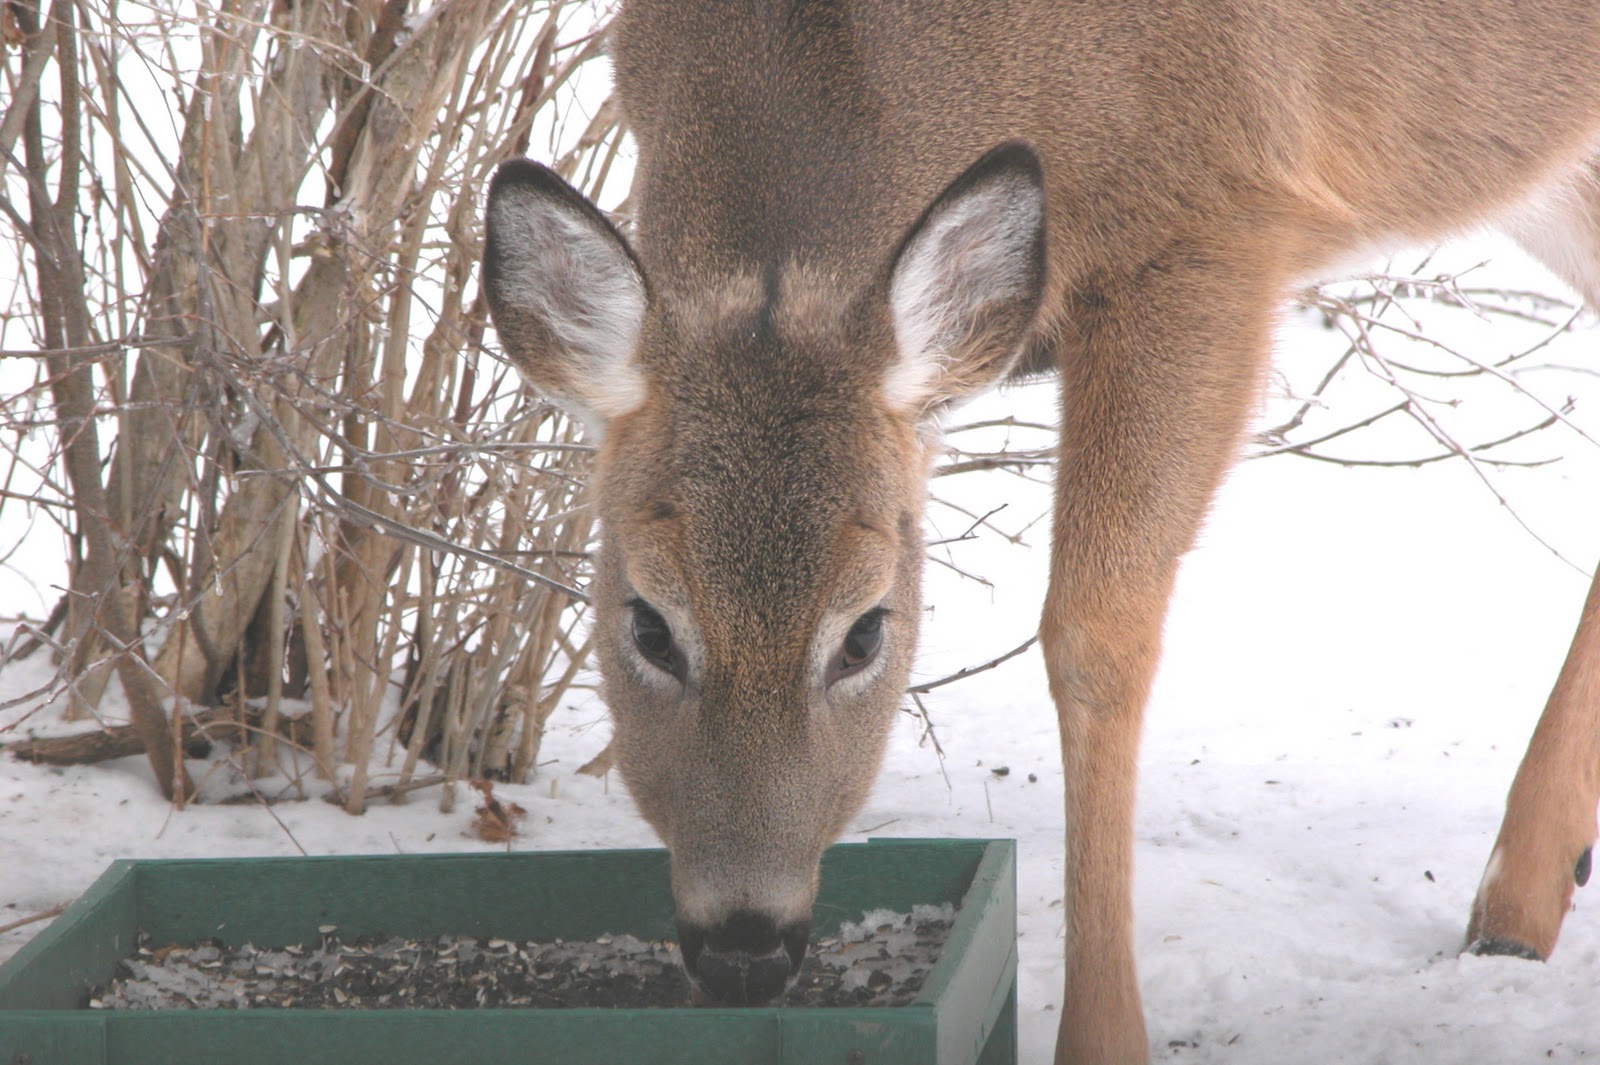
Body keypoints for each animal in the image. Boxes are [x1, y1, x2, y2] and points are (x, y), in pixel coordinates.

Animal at [479, 2, 1600, 1061]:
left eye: (866, 632)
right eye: (647, 623)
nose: (743, 947)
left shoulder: (1210, 226)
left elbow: (1092, 638)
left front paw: (1101, 1036)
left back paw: (1509, 905)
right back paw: (1520, 901)